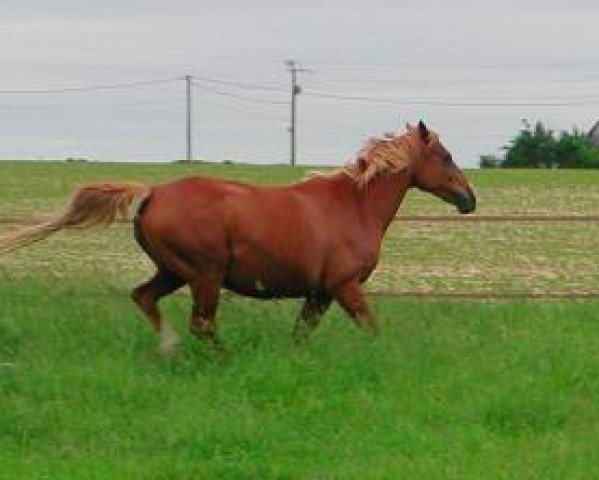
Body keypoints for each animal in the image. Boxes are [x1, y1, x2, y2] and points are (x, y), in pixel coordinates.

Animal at [1, 122, 478, 354]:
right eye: (446, 155)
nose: (469, 199)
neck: (353, 205)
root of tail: (152, 192)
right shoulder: (344, 286)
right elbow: (371, 327)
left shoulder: (320, 292)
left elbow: (301, 335)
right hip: (204, 274)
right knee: (201, 324)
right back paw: (221, 359)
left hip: (174, 272)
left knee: (145, 298)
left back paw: (169, 350)